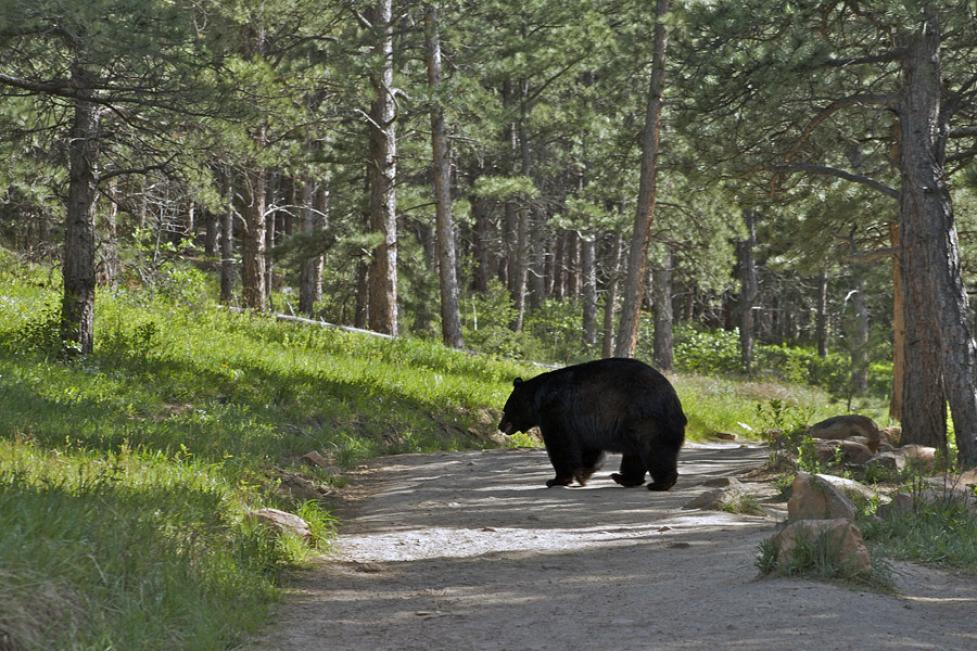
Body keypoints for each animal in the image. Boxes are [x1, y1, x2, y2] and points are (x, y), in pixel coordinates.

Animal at [496, 360, 688, 492]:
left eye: (506, 409)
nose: (500, 426)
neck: (539, 399)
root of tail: (677, 406)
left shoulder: (556, 412)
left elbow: (560, 445)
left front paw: (557, 479)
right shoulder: (585, 424)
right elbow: (589, 449)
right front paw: (583, 473)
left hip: (647, 420)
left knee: (655, 451)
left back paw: (660, 483)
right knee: (635, 455)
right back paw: (624, 478)